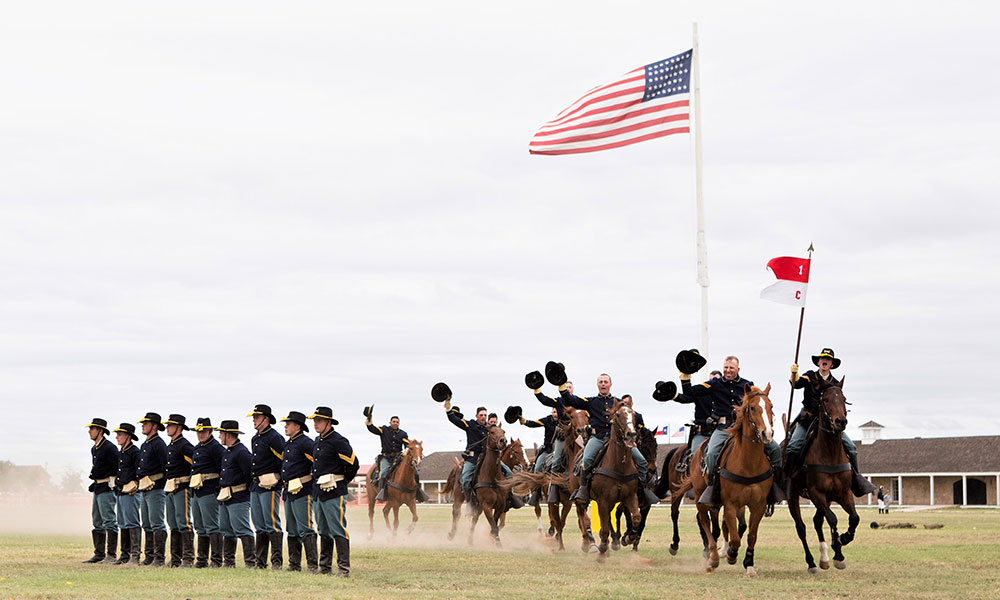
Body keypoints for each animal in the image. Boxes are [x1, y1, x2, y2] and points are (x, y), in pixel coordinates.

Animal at [584, 400, 640, 560]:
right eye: (619, 415)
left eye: (633, 414)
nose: (631, 433)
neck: (620, 464)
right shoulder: (602, 500)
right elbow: (604, 528)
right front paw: (603, 547)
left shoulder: (630, 496)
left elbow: (636, 517)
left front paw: (628, 537)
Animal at [692, 384, 776, 576]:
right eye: (752, 408)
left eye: (771, 407)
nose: (767, 434)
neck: (748, 463)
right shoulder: (730, 504)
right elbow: (736, 538)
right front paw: (730, 554)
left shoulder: (758, 505)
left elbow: (751, 535)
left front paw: (749, 564)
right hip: (701, 498)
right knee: (705, 522)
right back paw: (713, 558)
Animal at [784, 378, 864, 576]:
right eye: (826, 399)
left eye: (844, 399)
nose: (840, 421)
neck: (830, 453)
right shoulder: (815, 493)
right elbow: (833, 518)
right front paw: (838, 550)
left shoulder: (843, 493)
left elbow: (854, 518)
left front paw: (843, 540)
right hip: (793, 497)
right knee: (801, 528)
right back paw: (812, 562)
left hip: (826, 498)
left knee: (817, 521)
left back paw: (824, 558)